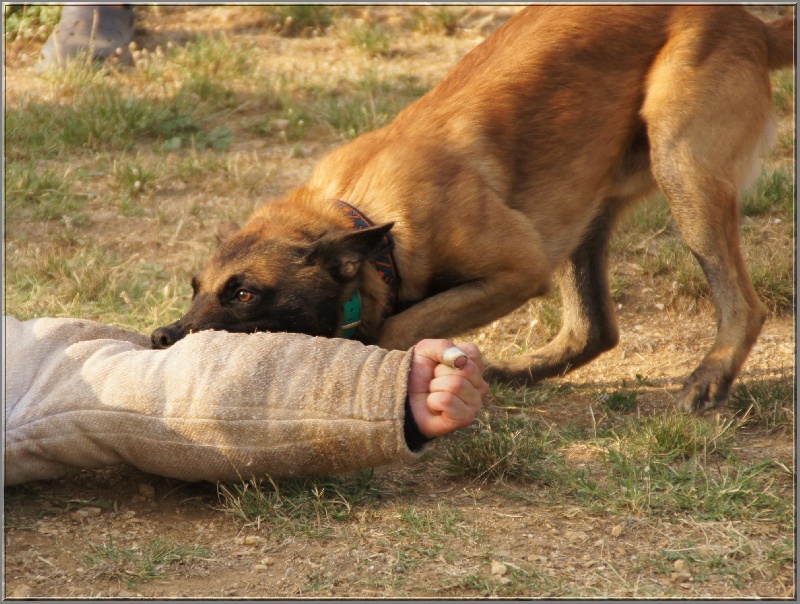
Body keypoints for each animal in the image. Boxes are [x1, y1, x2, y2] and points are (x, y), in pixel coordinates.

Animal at [152, 5, 792, 410]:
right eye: (195, 287)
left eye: (244, 294)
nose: (161, 338)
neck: (364, 217)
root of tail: (753, 23)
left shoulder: (516, 270)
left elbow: (400, 327)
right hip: (576, 211)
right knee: (595, 329)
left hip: (681, 171)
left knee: (744, 304)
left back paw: (711, 377)